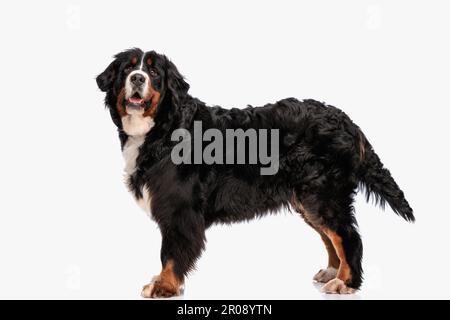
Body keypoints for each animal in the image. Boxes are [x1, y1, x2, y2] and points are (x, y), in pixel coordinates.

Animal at [96, 47, 414, 298]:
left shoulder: (179, 209)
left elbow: (171, 254)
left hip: (323, 194)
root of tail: (346, 121)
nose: (137, 78)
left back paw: (344, 283)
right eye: (128, 68)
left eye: (153, 72)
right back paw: (332, 272)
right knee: (331, 237)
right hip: (309, 199)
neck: (165, 128)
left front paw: (164, 286)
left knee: (348, 236)